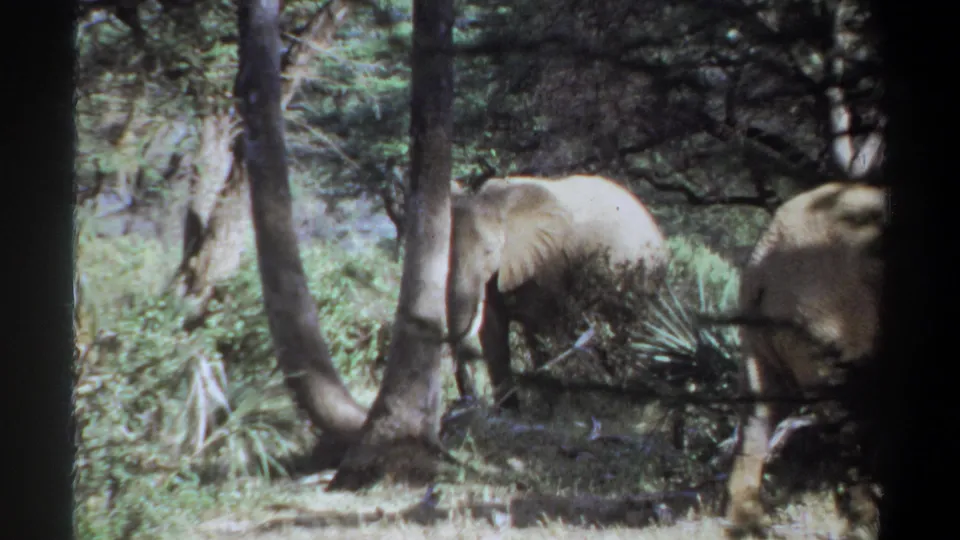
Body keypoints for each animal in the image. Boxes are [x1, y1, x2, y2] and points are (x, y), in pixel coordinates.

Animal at [446, 175, 669, 410]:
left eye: (489, 251)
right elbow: (493, 332)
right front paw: (509, 412)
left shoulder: (546, 264)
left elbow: (539, 329)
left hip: (641, 275)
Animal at [724, 181, 887, 537]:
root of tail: (766, 252)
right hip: (827, 311)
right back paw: (865, 523)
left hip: (759, 328)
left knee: (757, 412)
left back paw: (746, 527)